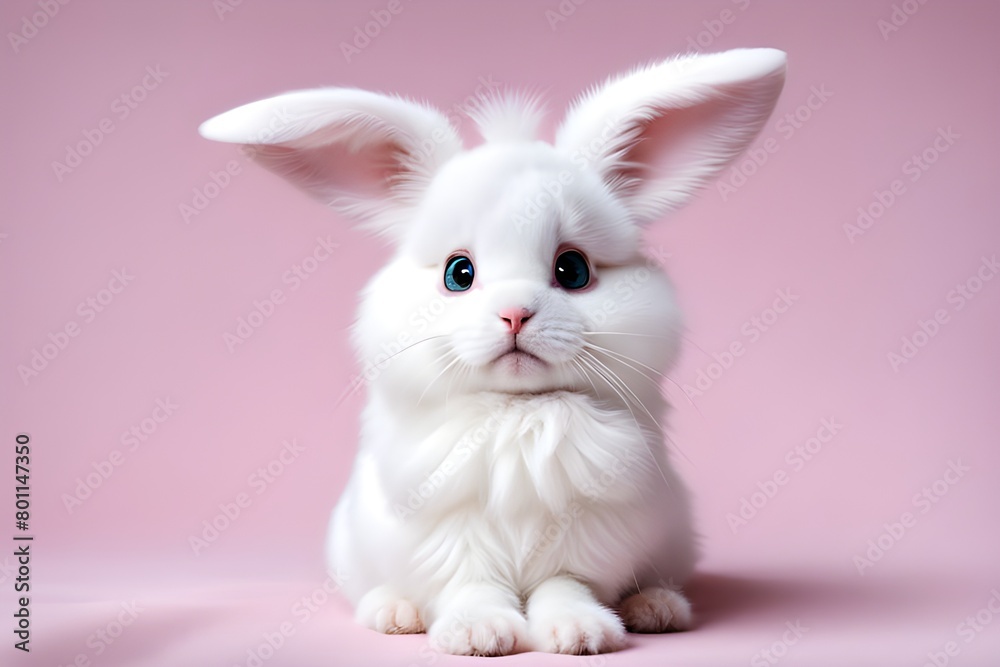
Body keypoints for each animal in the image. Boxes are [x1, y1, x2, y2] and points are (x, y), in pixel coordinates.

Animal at [199, 47, 786, 656]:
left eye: (573, 270)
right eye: (459, 273)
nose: (515, 314)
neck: (518, 411)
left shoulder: (584, 536)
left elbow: (565, 585)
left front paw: (580, 633)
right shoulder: (451, 535)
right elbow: (472, 585)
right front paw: (478, 634)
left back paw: (656, 609)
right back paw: (394, 613)